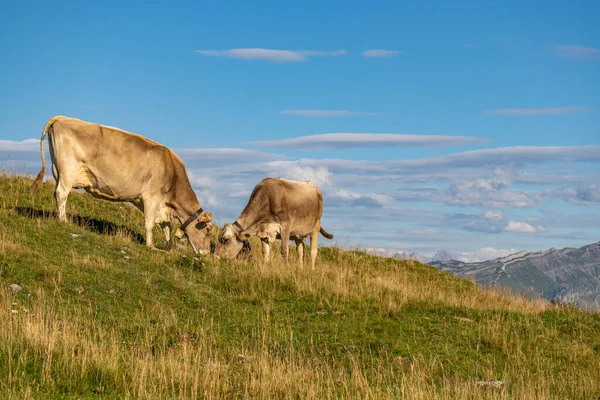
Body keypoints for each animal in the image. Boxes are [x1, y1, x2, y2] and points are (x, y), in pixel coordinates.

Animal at [31, 115, 213, 253]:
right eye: (208, 230)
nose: (205, 254)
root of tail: (62, 118)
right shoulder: (151, 198)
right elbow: (150, 224)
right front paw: (151, 246)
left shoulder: (162, 205)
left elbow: (166, 227)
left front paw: (169, 249)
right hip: (68, 169)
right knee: (61, 192)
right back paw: (63, 220)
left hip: (58, 169)